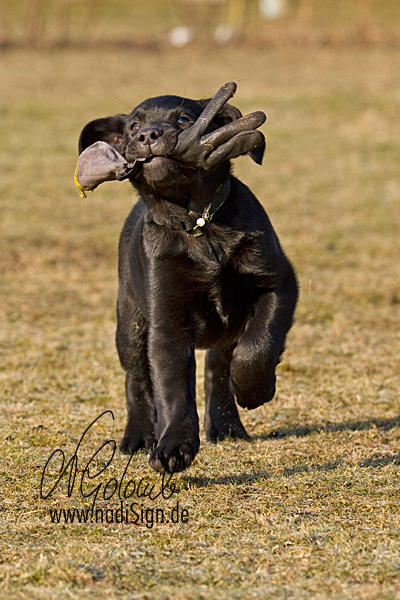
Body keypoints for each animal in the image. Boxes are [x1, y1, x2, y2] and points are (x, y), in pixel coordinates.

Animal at [78, 81, 296, 474]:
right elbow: (172, 387)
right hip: (130, 323)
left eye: (183, 120)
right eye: (133, 126)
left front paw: (254, 390)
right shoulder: (167, 320)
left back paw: (226, 425)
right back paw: (138, 436)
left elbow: (259, 345)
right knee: (137, 379)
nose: (149, 135)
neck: (199, 224)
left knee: (218, 367)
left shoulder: (279, 283)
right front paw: (173, 446)